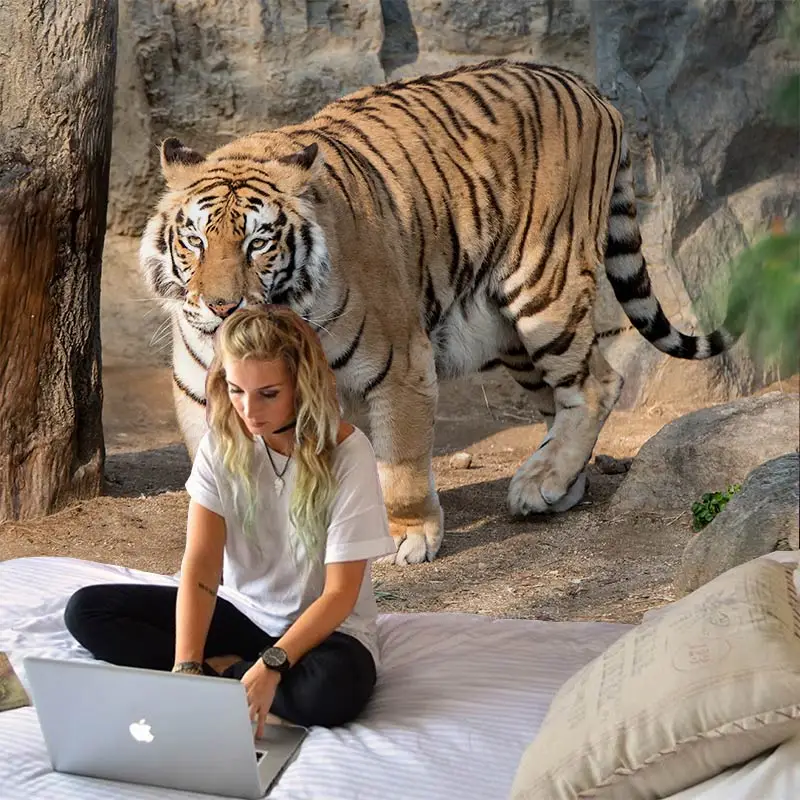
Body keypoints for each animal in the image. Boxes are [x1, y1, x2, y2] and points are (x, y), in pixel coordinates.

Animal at [139, 58, 745, 565]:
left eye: (258, 243)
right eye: (194, 240)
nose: (222, 307)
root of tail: (586, 86)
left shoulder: (401, 365)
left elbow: (402, 463)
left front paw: (406, 536)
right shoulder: (199, 388)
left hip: (545, 290)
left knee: (597, 384)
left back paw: (539, 482)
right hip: (505, 331)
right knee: (560, 399)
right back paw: (554, 483)